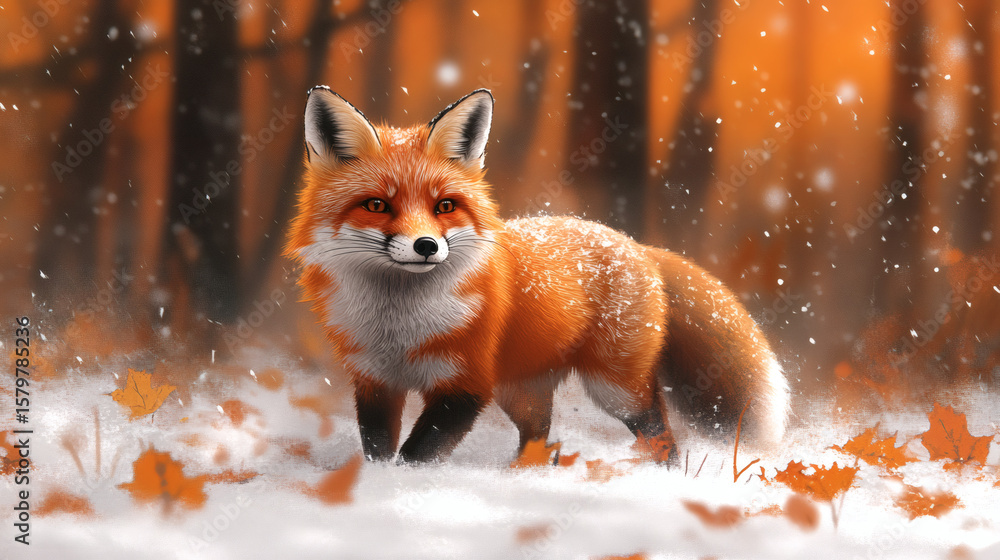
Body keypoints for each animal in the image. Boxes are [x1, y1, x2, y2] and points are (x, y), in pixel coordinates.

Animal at [285, 86, 790, 464]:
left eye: (444, 206)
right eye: (377, 205)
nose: (426, 246)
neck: (399, 326)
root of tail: (634, 243)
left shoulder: (464, 385)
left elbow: (417, 454)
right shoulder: (376, 382)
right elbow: (379, 451)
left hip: (614, 389)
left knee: (660, 431)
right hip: (522, 391)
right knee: (540, 438)